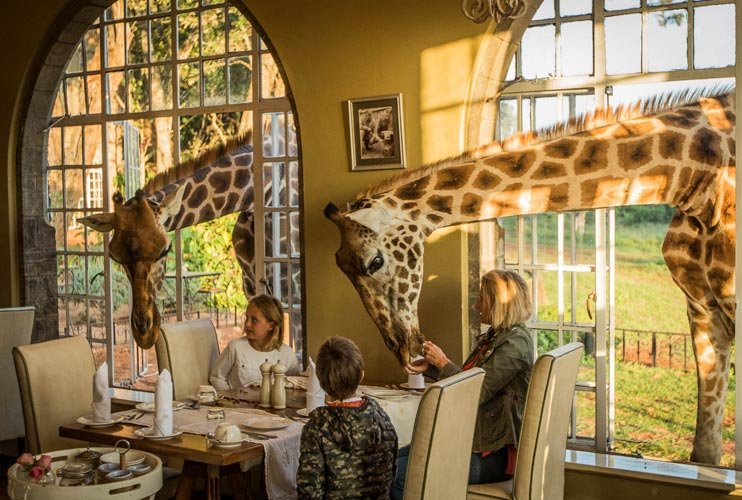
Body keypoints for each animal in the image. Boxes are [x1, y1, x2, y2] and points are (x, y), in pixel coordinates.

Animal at [325, 87, 735, 465]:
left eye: (375, 261)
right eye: (341, 270)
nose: (406, 352)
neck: (693, 176)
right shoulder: (703, 307)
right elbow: (706, 449)